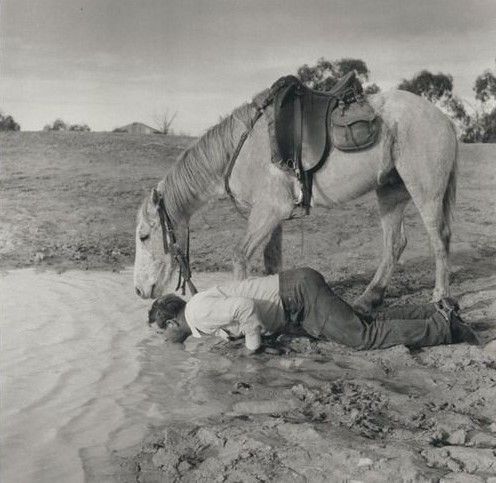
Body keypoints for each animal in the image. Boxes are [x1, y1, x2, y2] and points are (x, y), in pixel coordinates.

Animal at [133, 87, 458, 314]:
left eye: (144, 236)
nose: (139, 291)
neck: (241, 149)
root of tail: (444, 120)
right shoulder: (272, 218)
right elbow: (272, 263)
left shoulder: (269, 211)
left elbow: (240, 255)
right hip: (390, 191)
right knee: (395, 243)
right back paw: (368, 299)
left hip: (425, 190)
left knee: (439, 238)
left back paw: (441, 298)